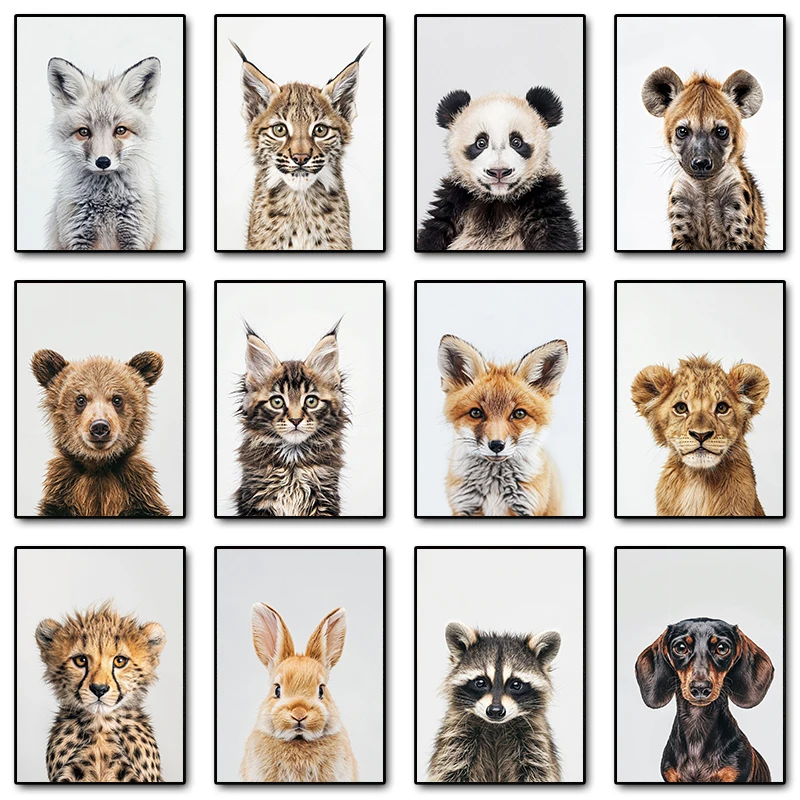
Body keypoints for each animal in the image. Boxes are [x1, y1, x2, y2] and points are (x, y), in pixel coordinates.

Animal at [31, 349, 170, 517]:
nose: (99, 427)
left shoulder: (136, 489)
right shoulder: (64, 489)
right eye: (81, 399)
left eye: (117, 399)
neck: (99, 466)